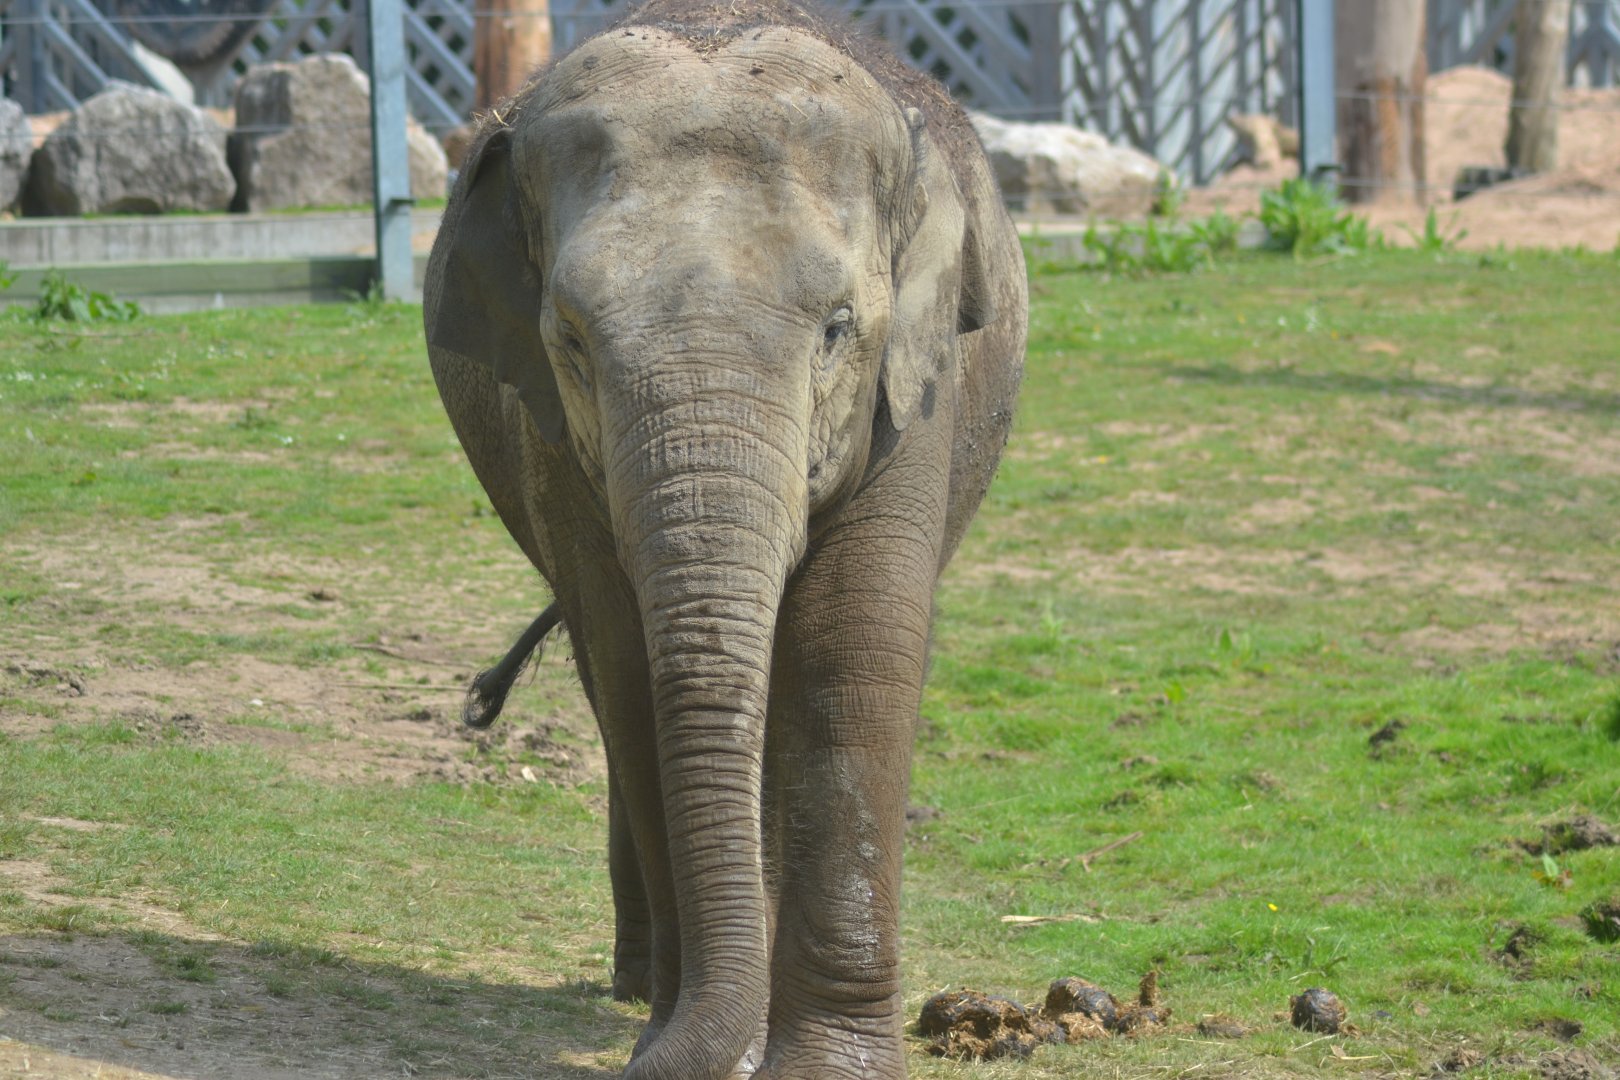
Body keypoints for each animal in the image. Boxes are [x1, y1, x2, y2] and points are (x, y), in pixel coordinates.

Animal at [422, 0, 1027, 1075]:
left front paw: (823, 1068)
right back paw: (639, 986)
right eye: (570, 340)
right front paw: (682, 1036)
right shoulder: (547, 429)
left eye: (837, 328)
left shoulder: (916, 391)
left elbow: (851, 652)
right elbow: (631, 667)